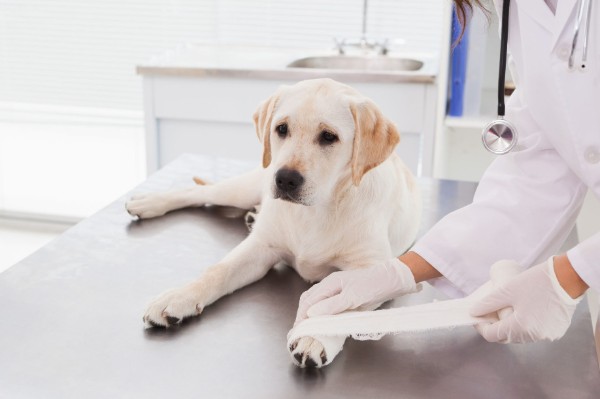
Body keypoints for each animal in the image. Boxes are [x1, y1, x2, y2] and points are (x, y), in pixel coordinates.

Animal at [124, 78, 420, 368]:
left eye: (328, 136)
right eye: (282, 129)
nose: (286, 179)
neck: (315, 210)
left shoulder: (374, 272)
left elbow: (344, 302)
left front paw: (315, 336)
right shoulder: (260, 248)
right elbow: (217, 271)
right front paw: (179, 296)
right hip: (244, 188)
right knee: (199, 192)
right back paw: (150, 202)